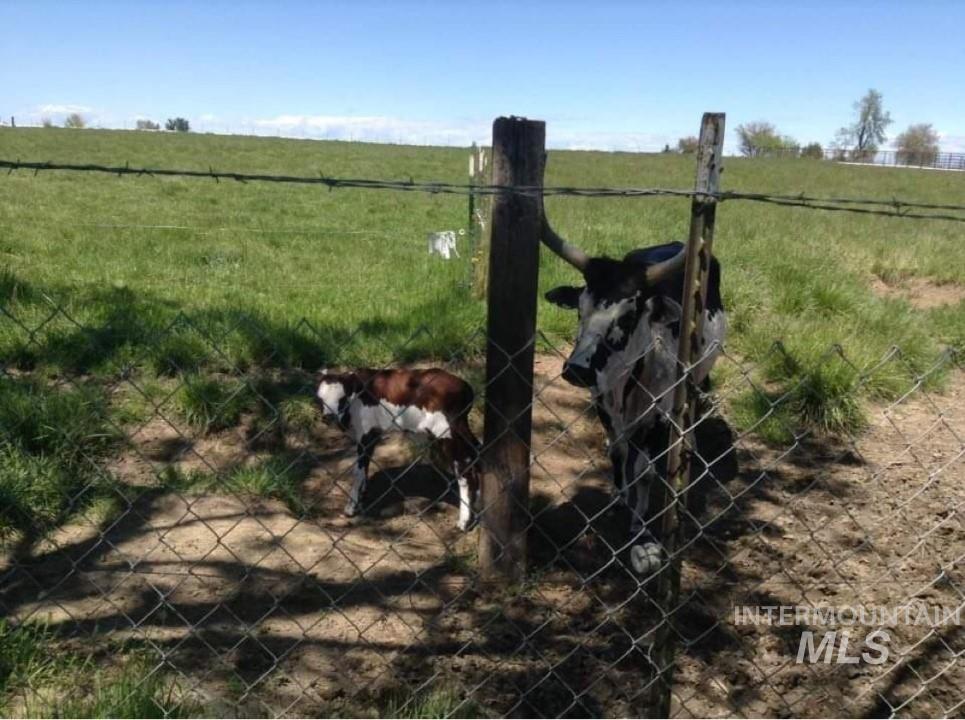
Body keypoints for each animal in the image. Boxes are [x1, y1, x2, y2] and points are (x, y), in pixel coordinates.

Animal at [318, 372, 480, 528]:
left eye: (342, 398)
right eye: (320, 399)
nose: (328, 417)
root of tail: (466, 387)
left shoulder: (366, 433)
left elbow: (358, 471)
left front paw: (351, 508)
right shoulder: (372, 434)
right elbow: (364, 468)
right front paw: (362, 495)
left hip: (447, 432)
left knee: (464, 469)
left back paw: (464, 522)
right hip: (460, 431)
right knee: (476, 453)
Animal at [544, 218, 724, 572]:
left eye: (627, 317)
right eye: (579, 310)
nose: (577, 369)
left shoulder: (659, 415)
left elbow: (644, 472)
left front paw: (638, 525)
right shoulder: (602, 402)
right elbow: (618, 452)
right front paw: (618, 497)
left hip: (697, 374)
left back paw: (691, 444)